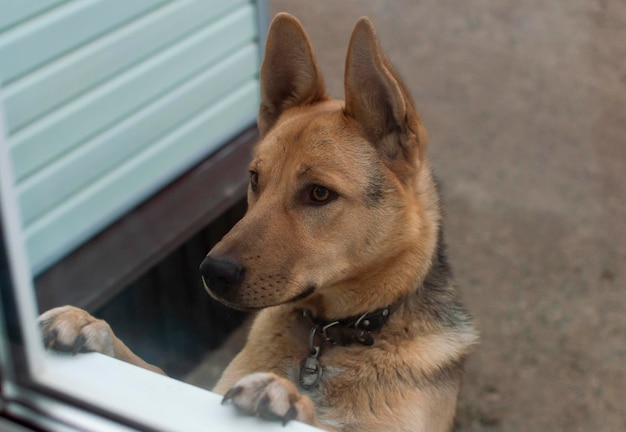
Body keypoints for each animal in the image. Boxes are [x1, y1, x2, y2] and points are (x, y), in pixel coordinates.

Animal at [39, 13, 476, 432]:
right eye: (254, 179)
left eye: (319, 193)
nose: (212, 272)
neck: (332, 338)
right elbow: (152, 370)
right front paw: (91, 327)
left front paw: (290, 398)